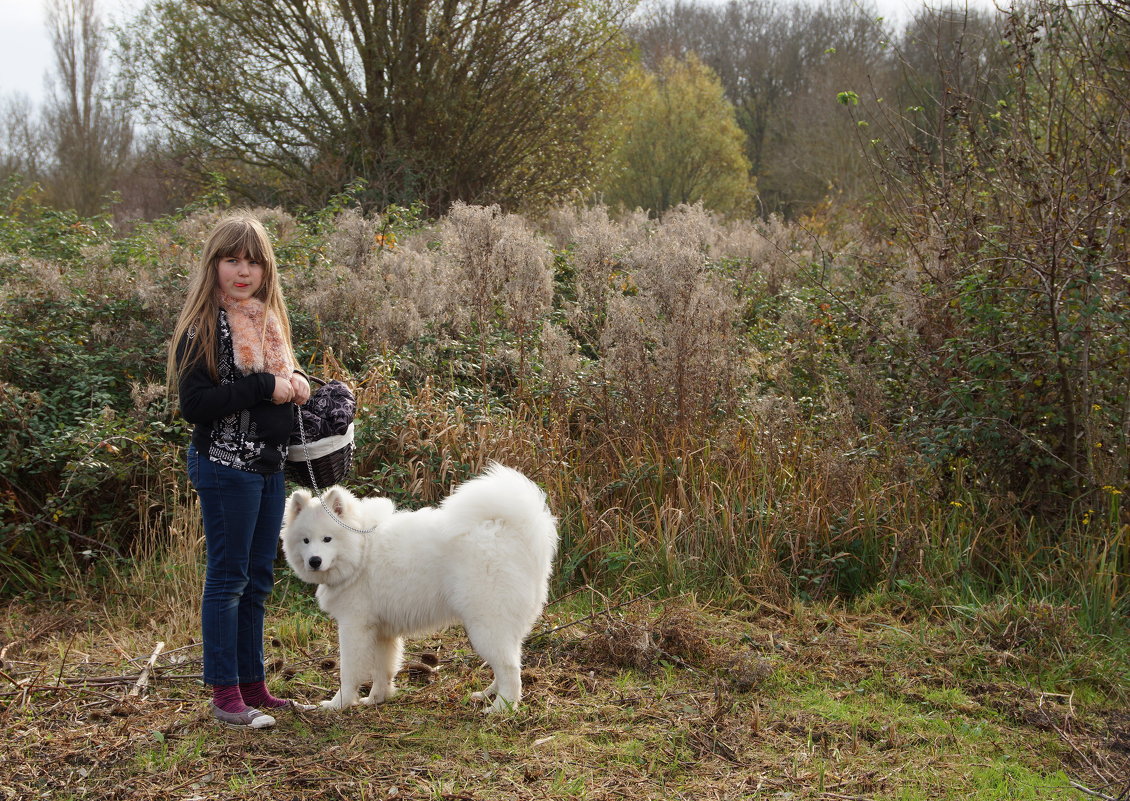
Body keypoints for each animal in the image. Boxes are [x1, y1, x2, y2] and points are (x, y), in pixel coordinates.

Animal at [280, 463, 558, 714]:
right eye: (305, 540)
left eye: (327, 539)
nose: (314, 561)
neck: (361, 550)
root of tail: (511, 530)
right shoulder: (382, 631)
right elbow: (383, 669)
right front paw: (376, 699)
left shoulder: (354, 626)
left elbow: (349, 671)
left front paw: (338, 704)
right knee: (508, 664)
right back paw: (487, 695)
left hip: (486, 624)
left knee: (510, 670)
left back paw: (501, 707)